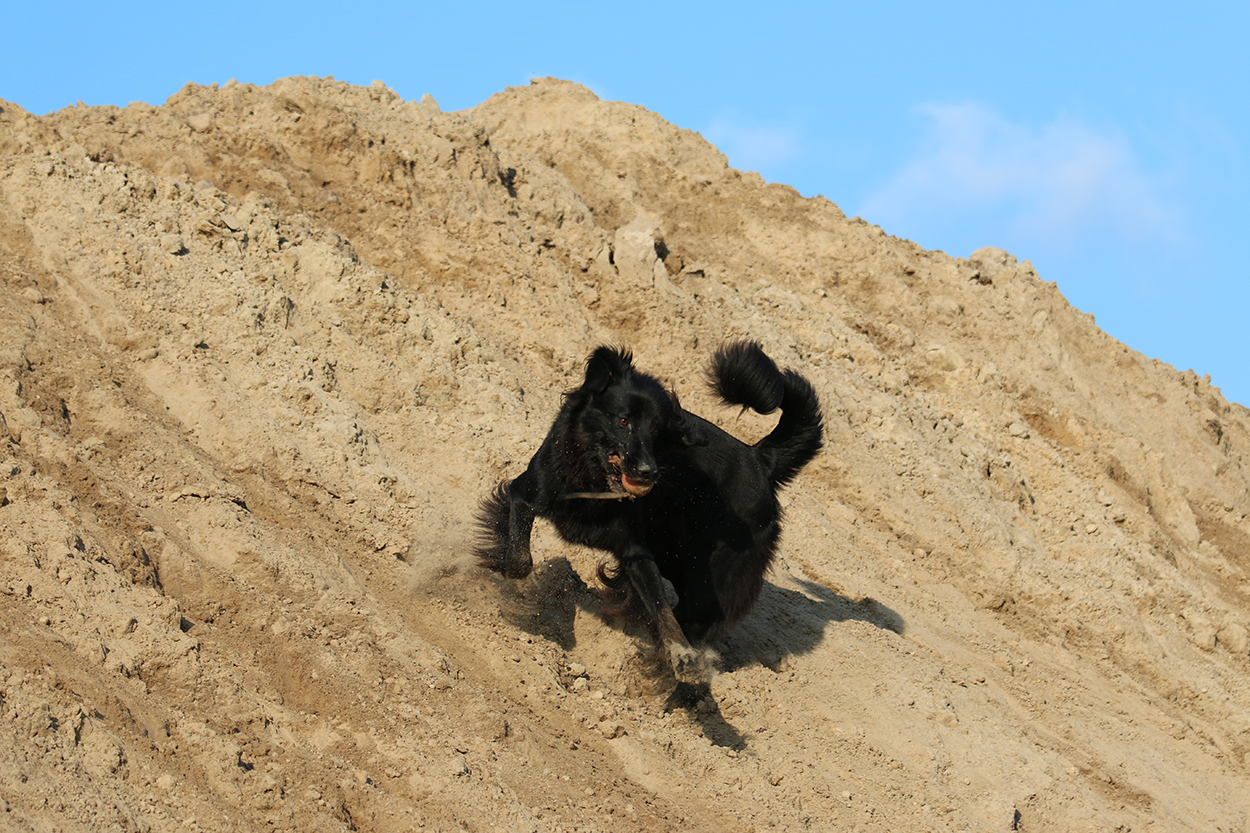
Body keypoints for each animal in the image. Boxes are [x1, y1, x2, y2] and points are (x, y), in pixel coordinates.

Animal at [475, 341, 823, 683]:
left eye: (656, 430)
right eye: (623, 421)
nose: (648, 472)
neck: (593, 477)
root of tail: (761, 461)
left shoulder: (636, 552)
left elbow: (661, 609)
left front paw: (682, 658)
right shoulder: (525, 493)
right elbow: (519, 557)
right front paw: (507, 571)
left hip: (707, 578)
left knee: (693, 620)